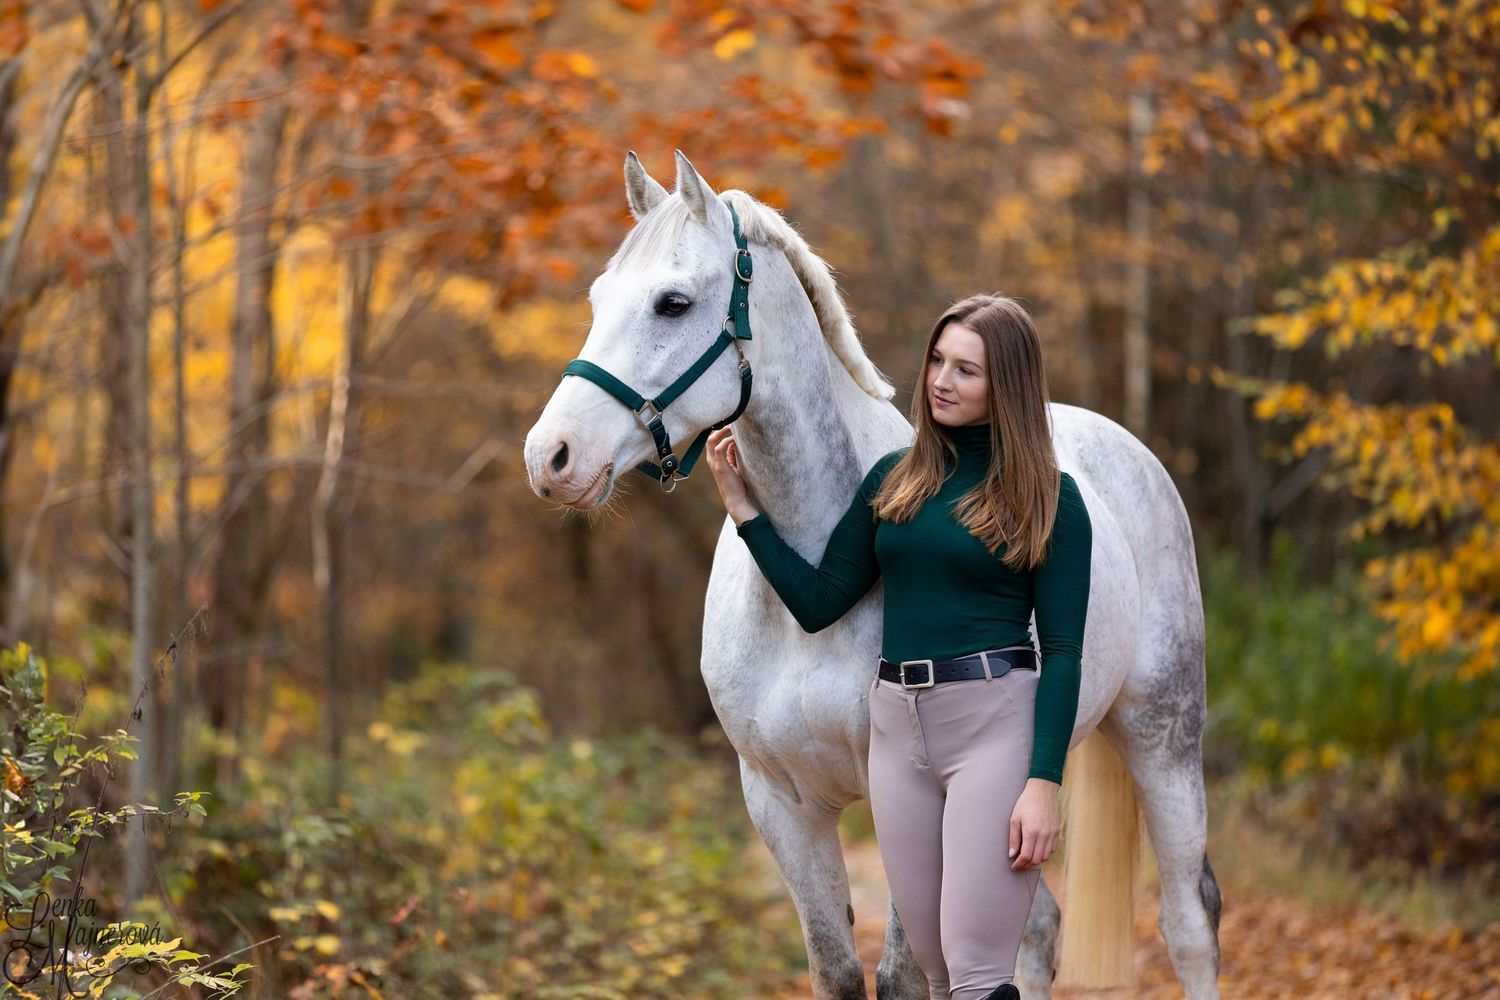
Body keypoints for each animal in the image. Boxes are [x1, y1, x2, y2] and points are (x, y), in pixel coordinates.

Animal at [523, 150, 1221, 1000]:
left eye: (673, 302)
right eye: (598, 298)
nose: (551, 456)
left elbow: (902, 976)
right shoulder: (780, 806)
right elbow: (836, 970)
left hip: (1163, 735)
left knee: (1190, 920)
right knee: (1037, 931)